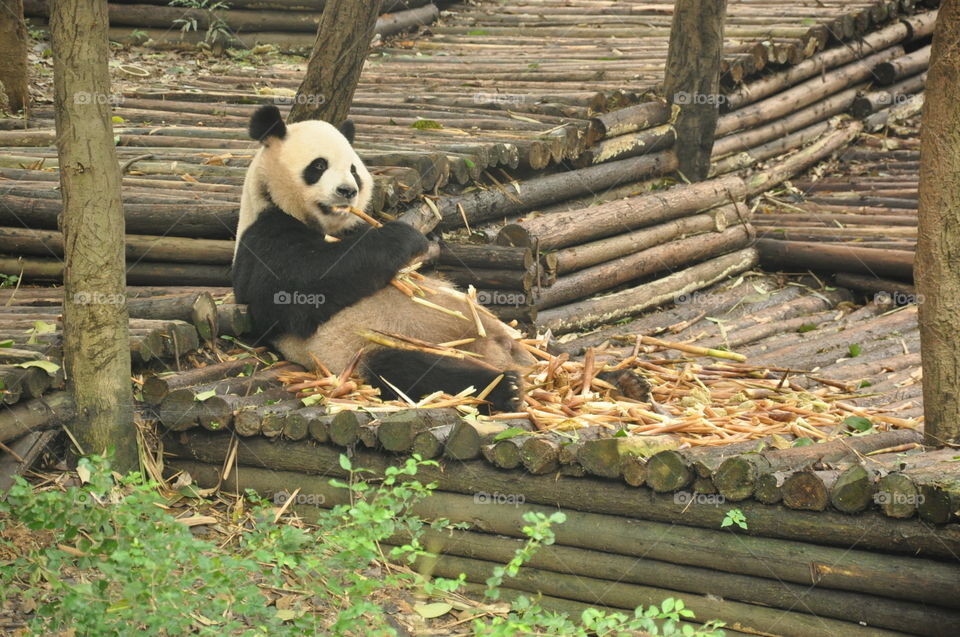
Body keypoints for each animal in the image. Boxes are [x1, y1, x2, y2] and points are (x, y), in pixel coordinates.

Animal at [232, 105, 532, 412]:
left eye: (353, 170)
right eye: (318, 166)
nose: (347, 191)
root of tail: (499, 350)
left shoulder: (354, 226)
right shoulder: (264, 238)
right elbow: (303, 285)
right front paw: (406, 237)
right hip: (379, 346)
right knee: (411, 370)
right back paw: (505, 387)